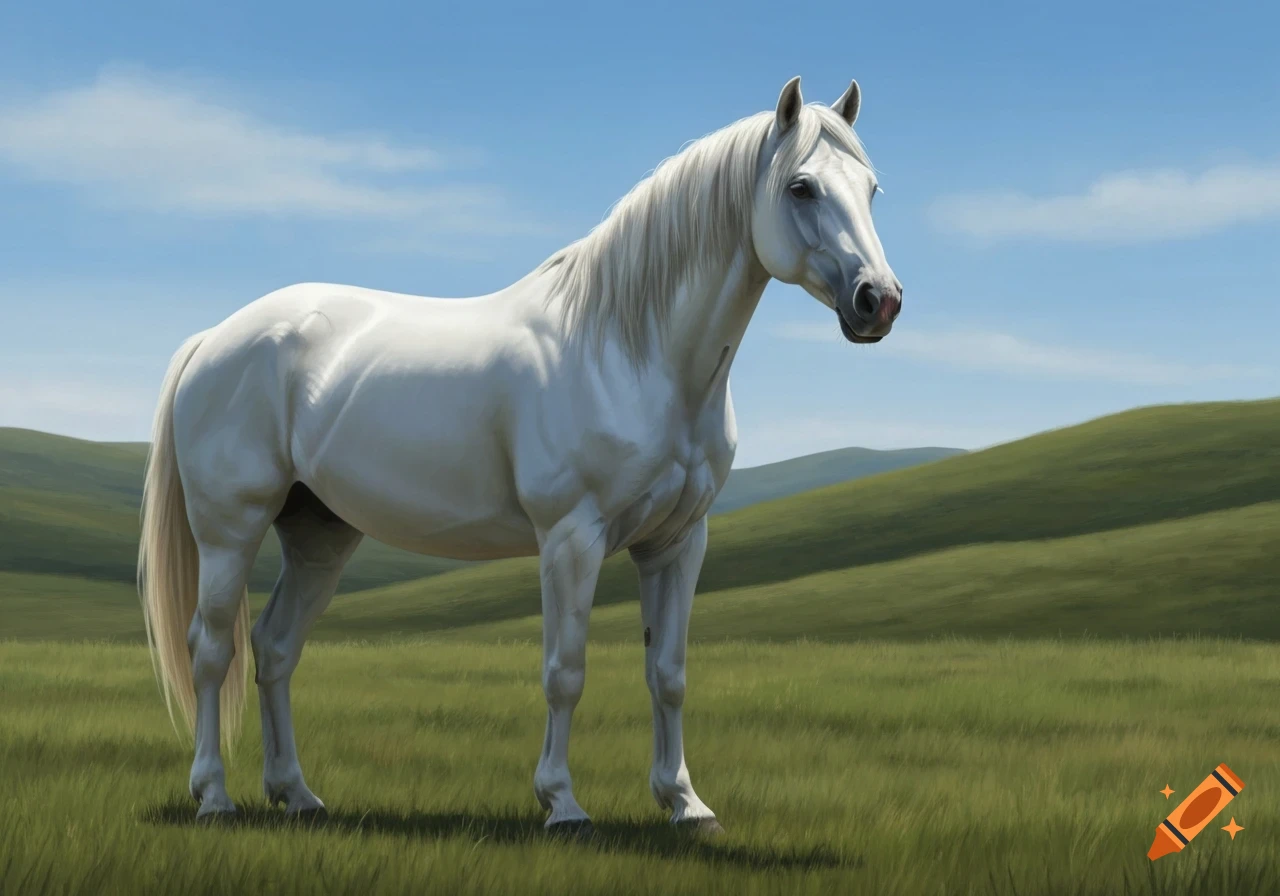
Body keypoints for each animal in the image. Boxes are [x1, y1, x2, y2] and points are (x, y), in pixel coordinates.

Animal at [137, 74, 903, 836]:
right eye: (801, 187)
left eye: (870, 188)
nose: (880, 301)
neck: (629, 350)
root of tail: (213, 339)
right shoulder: (572, 537)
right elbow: (565, 671)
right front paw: (562, 804)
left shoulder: (679, 542)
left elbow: (669, 674)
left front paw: (686, 804)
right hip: (231, 529)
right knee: (212, 649)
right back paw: (214, 796)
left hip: (318, 534)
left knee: (274, 648)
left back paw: (296, 793)